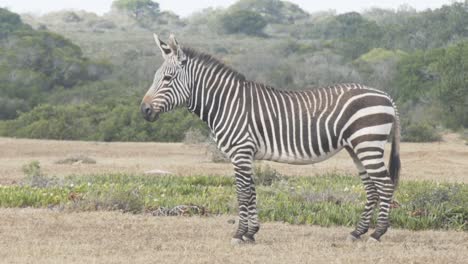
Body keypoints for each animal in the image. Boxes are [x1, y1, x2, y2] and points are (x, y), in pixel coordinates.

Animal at [141, 34, 400, 244]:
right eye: (155, 77)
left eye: (167, 79)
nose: (144, 110)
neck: (226, 103)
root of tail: (386, 95)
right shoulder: (247, 153)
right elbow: (252, 190)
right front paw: (251, 233)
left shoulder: (240, 151)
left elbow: (243, 192)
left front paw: (239, 234)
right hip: (356, 147)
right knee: (372, 188)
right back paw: (357, 232)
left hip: (368, 143)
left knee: (385, 185)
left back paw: (377, 234)